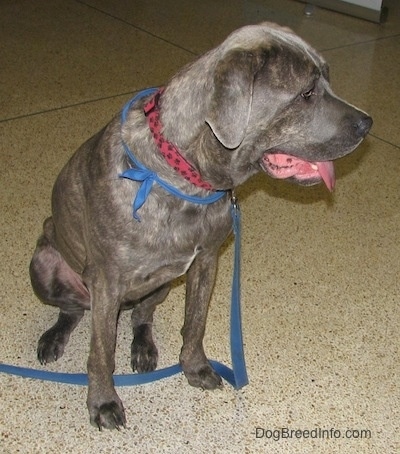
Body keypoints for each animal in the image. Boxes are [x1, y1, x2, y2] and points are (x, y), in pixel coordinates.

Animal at [29, 22, 374, 430]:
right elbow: (101, 351)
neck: (185, 176)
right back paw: (54, 337)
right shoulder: (107, 281)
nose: (367, 124)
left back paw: (143, 347)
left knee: (142, 315)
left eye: (328, 78)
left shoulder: (206, 261)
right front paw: (102, 402)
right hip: (45, 264)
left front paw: (193, 367)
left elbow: (195, 323)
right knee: (72, 310)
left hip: (160, 284)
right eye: (305, 93)